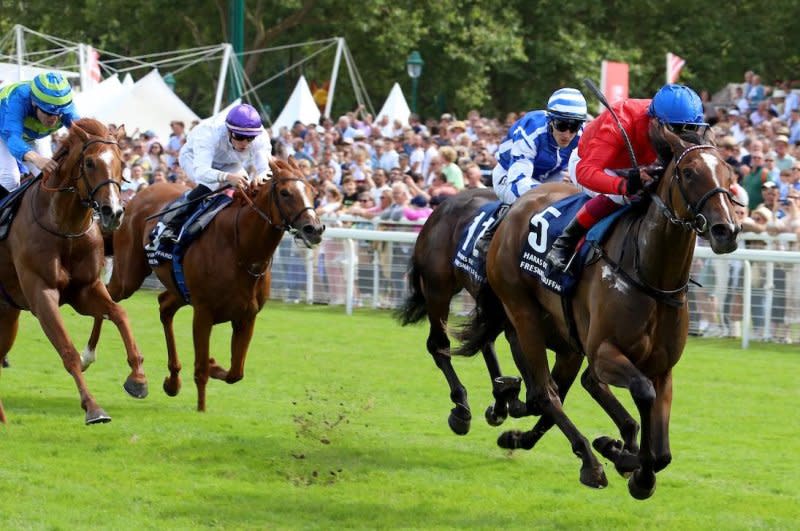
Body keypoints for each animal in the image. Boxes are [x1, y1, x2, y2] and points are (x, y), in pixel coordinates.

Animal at [0, 119, 147, 424]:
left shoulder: (85, 289)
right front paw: (93, 407)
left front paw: (137, 377)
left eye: (121, 160)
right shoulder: (41, 293)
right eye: (89, 162)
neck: (63, 226)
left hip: (7, 310)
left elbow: (118, 313)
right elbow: (66, 350)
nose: (113, 212)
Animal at [86, 157, 322, 412]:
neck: (241, 249)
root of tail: (136, 198)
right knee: (109, 298)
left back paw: (172, 381)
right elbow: (200, 370)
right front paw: (201, 408)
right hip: (129, 276)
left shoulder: (247, 316)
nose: (315, 229)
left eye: (313, 191)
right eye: (285, 192)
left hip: (178, 287)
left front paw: (213, 365)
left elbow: (235, 373)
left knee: (164, 306)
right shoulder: (203, 312)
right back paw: (89, 356)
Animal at [396, 189, 580, 438]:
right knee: (438, 345)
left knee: (485, 343)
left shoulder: (571, 350)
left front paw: (503, 400)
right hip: (437, 289)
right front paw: (508, 397)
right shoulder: (521, 327)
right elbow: (537, 395)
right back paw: (462, 410)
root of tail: (442, 206)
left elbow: (546, 395)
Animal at [456, 124, 736, 498]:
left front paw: (631, 460)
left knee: (549, 391)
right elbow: (641, 394)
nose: (726, 231)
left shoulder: (662, 368)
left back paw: (515, 417)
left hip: (566, 341)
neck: (650, 275)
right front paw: (630, 463)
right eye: (689, 172)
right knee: (545, 393)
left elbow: (662, 450)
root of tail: (514, 209)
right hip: (524, 313)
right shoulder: (604, 353)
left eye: (729, 172)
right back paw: (589, 461)